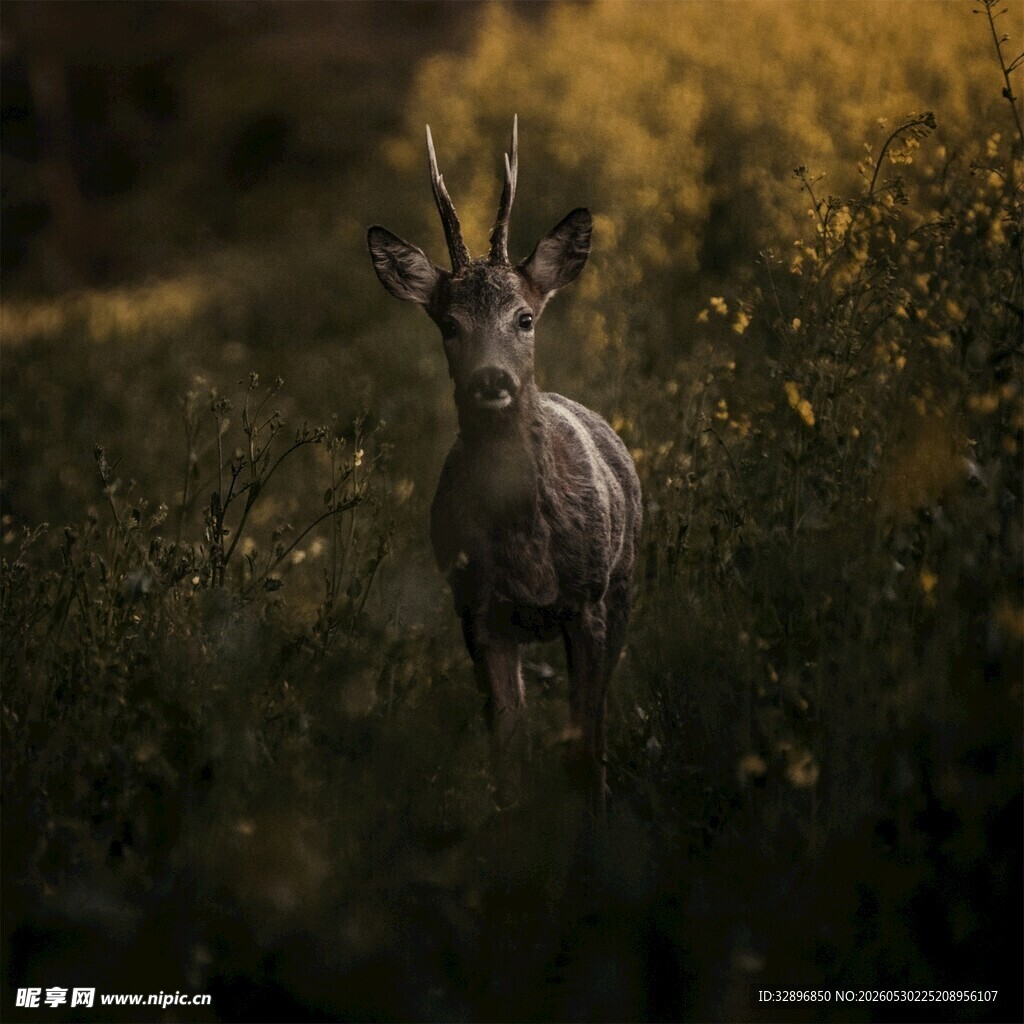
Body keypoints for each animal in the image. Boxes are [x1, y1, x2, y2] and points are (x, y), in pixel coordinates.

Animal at [367, 118, 642, 810]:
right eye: (448, 324)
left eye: (524, 317)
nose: (491, 380)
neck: (528, 552)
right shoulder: (476, 610)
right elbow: (507, 762)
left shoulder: (587, 600)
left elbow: (583, 749)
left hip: (625, 582)